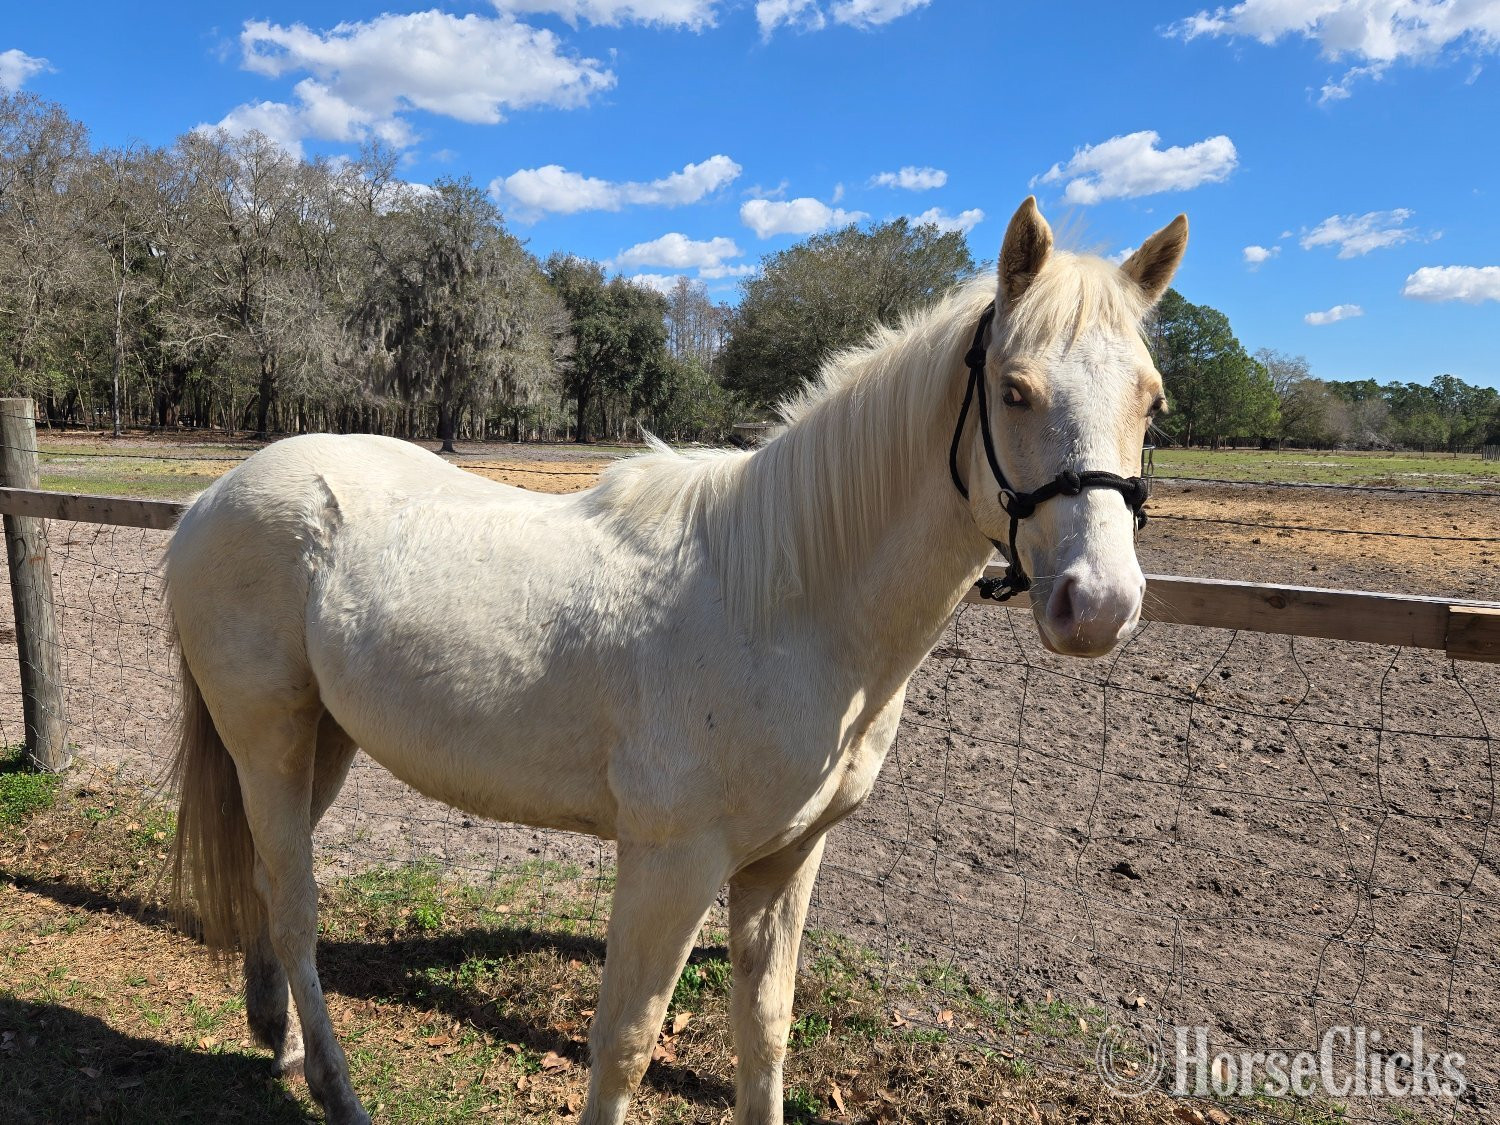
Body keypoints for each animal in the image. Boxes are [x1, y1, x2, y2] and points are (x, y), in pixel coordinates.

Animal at [165, 196, 1186, 1125]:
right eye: (1014, 389)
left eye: (1152, 400)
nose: (1099, 604)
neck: (783, 602)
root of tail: (212, 497)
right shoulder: (672, 862)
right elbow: (626, 1043)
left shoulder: (785, 862)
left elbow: (763, 1031)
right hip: (267, 739)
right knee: (295, 905)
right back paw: (336, 1090)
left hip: (324, 740)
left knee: (268, 881)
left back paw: (281, 1043)